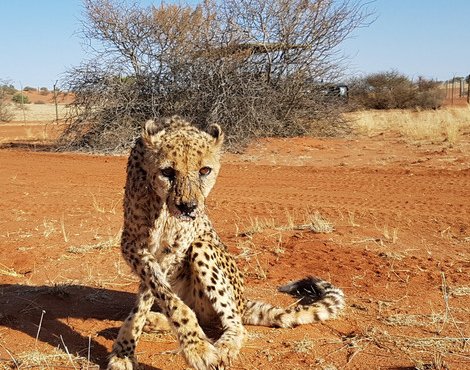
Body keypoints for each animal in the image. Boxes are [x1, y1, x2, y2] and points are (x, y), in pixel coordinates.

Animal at [107, 115, 346, 370]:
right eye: (167, 171)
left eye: (204, 170)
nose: (188, 207)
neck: (162, 205)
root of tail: (244, 301)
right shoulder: (133, 244)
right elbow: (156, 292)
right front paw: (125, 349)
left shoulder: (174, 249)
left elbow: (158, 295)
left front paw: (196, 347)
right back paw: (156, 320)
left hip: (204, 250)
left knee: (236, 324)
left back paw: (223, 347)